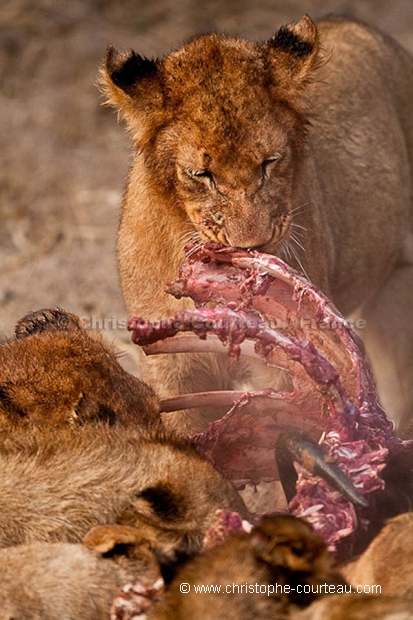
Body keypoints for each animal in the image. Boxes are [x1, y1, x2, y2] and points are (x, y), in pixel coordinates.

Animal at [100, 13, 412, 432]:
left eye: (269, 162)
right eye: (201, 174)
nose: (253, 247)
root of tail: (352, 21)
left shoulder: (289, 365)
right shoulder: (171, 367)